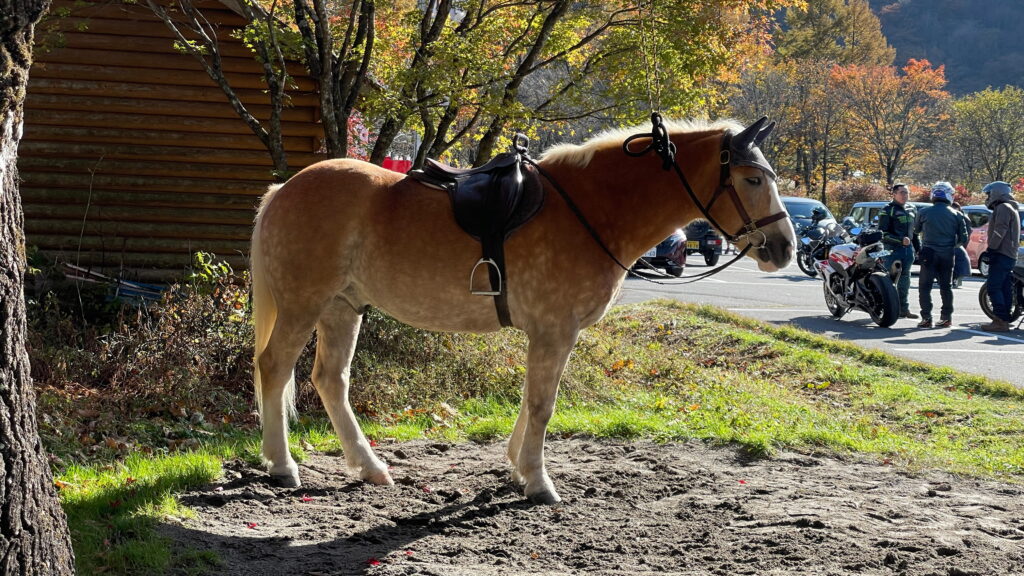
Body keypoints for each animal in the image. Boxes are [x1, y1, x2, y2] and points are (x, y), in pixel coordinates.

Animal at [250, 116, 795, 504]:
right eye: (751, 178)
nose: (785, 248)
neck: (593, 209)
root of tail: (283, 189)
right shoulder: (555, 331)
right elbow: (542, 404)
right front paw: (536, 480)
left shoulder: (550, 334)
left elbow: (531, 398)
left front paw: (516, 465)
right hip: (303, 304)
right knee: (274, 368)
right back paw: (283, 466)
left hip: (342, 308)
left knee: (330, 381)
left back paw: (369, 467)